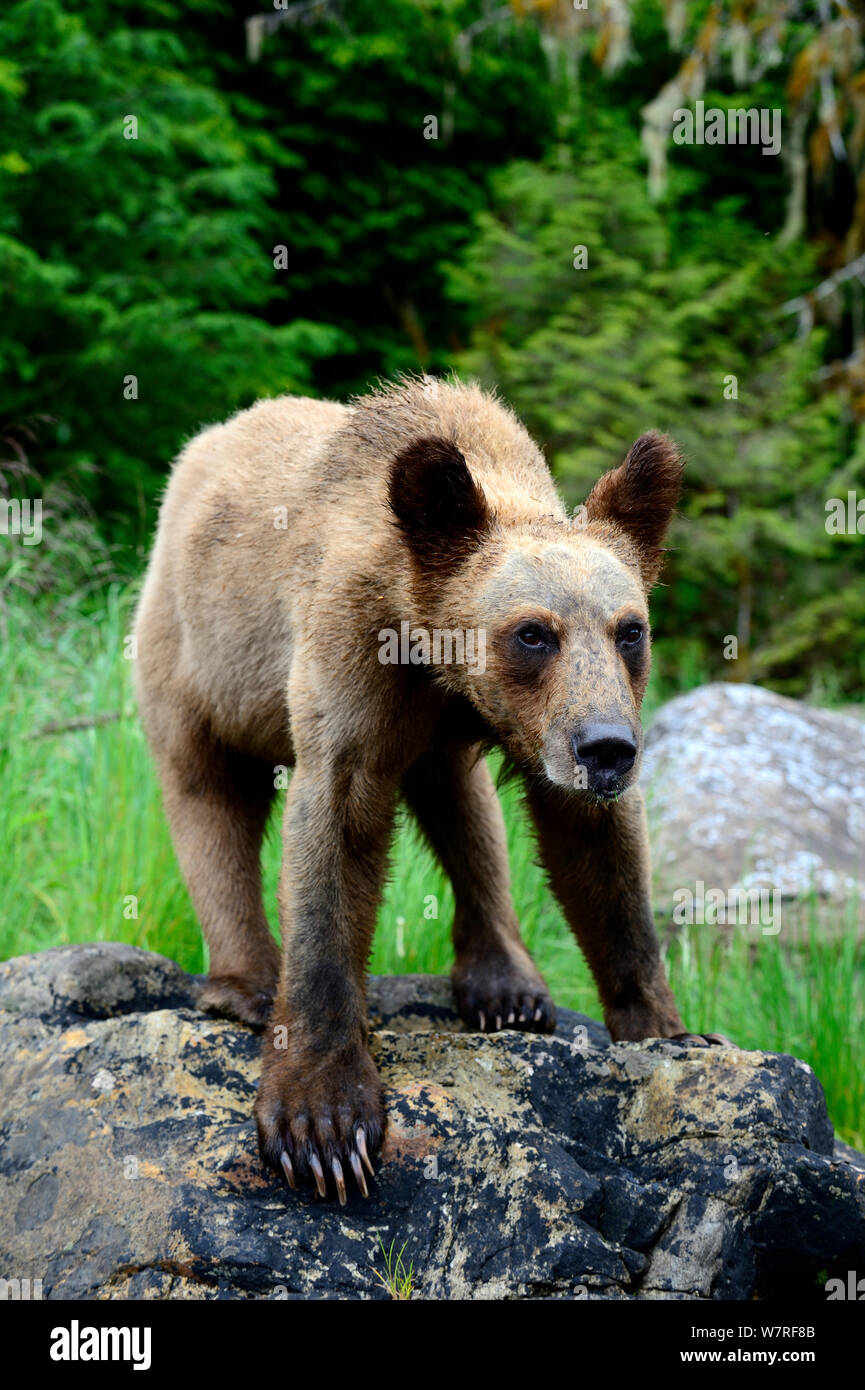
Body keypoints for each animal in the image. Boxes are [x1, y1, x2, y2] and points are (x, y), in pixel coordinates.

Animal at [136, 378, 734, 1206]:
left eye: (629, 630)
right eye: (532, 632)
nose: (609, 750)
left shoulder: (530, 723)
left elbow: (596, 854)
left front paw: (671, 1031)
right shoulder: (353, 651)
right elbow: (333, 838)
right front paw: (323, 1124)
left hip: (438, 749)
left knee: (466, 815)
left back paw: (506, 985)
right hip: (193, 648)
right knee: (206, 796)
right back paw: (248, 982)